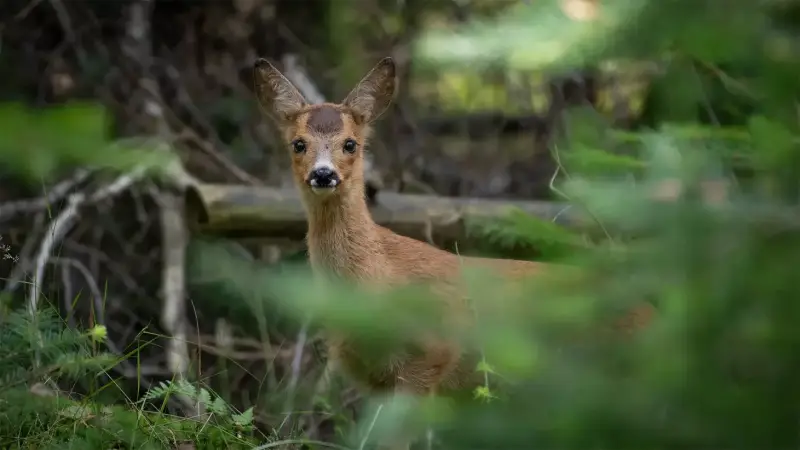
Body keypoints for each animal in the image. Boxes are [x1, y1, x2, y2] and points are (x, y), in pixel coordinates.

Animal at [253, 56, 656, 449]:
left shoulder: (430, 354)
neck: (376, 277)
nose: (323, 174)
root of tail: (651, 313)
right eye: (298, 144)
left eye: (350, 144)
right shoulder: (372, 377)